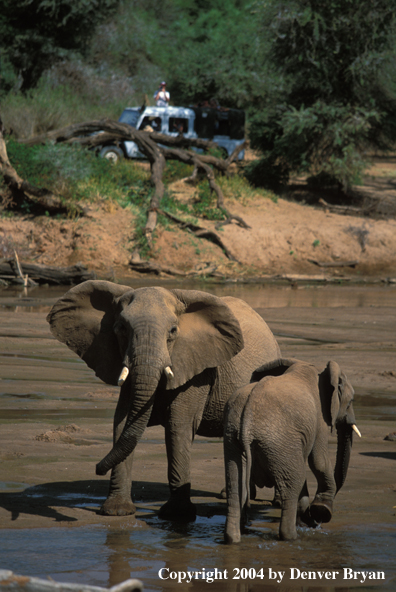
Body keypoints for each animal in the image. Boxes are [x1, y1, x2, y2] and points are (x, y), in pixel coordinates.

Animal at [47, 280, 282, 520]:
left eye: (173, 331)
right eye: (121, 329)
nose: (96, 468)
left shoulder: (197, 369)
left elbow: (177, 426)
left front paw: (177, 515)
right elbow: (122, 422)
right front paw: (116, 511)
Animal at [224, 358, 360, 544]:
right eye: (351, 400)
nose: (316, 522)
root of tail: (247, 419)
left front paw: (309, 517)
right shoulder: (319, 417)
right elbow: (318, 461)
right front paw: (322, 510)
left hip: (234, 438)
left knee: (235, 486)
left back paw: (233, 539)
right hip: (278, 439)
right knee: (293, 483)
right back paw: (292, 537)